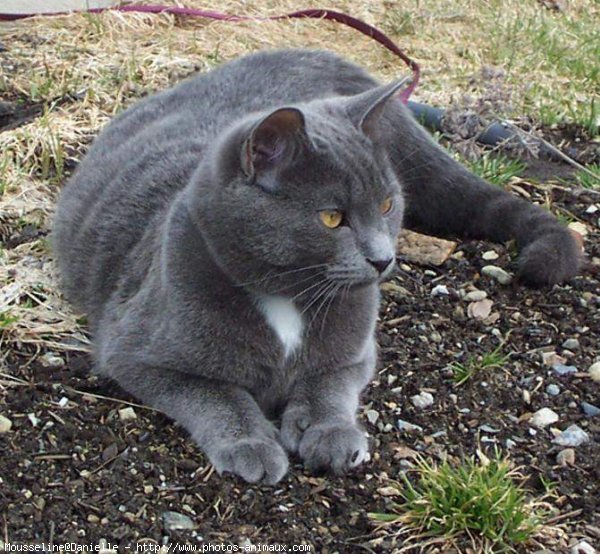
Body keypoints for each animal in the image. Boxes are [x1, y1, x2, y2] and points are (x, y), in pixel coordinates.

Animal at [52, 50, 580, 484]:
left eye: (387, 204)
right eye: (332, 218)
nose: (382, 258)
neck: (287, 301)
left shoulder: (356, 353)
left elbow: (329, 383)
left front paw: (327, 432)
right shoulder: (135, 353)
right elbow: (218, 395)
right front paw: (252, 444)